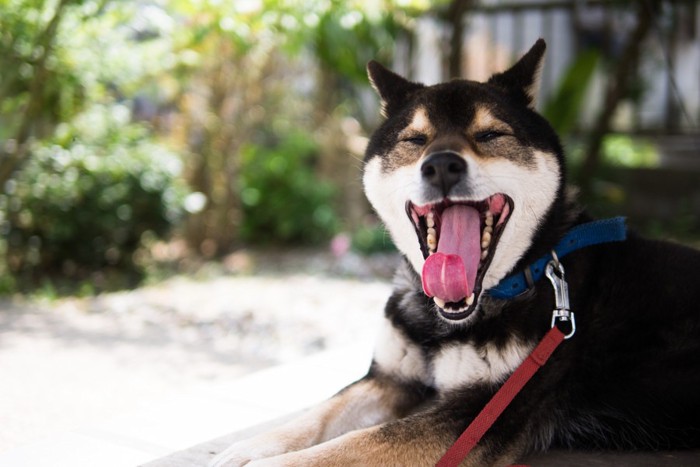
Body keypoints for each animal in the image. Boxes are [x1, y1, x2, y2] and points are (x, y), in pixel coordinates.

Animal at [211, 40, 700, 467]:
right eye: (414, 139)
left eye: (490, 133)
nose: (442, 164)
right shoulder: (390, 379)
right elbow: (322, 412)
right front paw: (248, 447)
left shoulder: (481, 411)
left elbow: (356, 444)